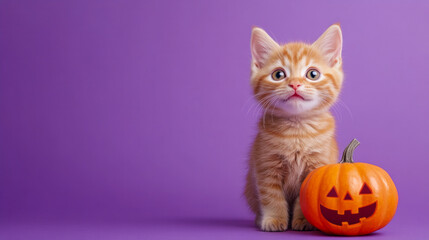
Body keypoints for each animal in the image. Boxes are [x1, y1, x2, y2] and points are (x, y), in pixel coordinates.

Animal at [246, 23, 342, 231]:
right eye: (278, 74)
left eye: (313, 74)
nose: (295, 84)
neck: (297, 131)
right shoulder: (266, 166)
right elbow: (271, 196)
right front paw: (274, 219)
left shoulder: (316, 166)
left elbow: (305, 198)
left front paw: (304, 221)